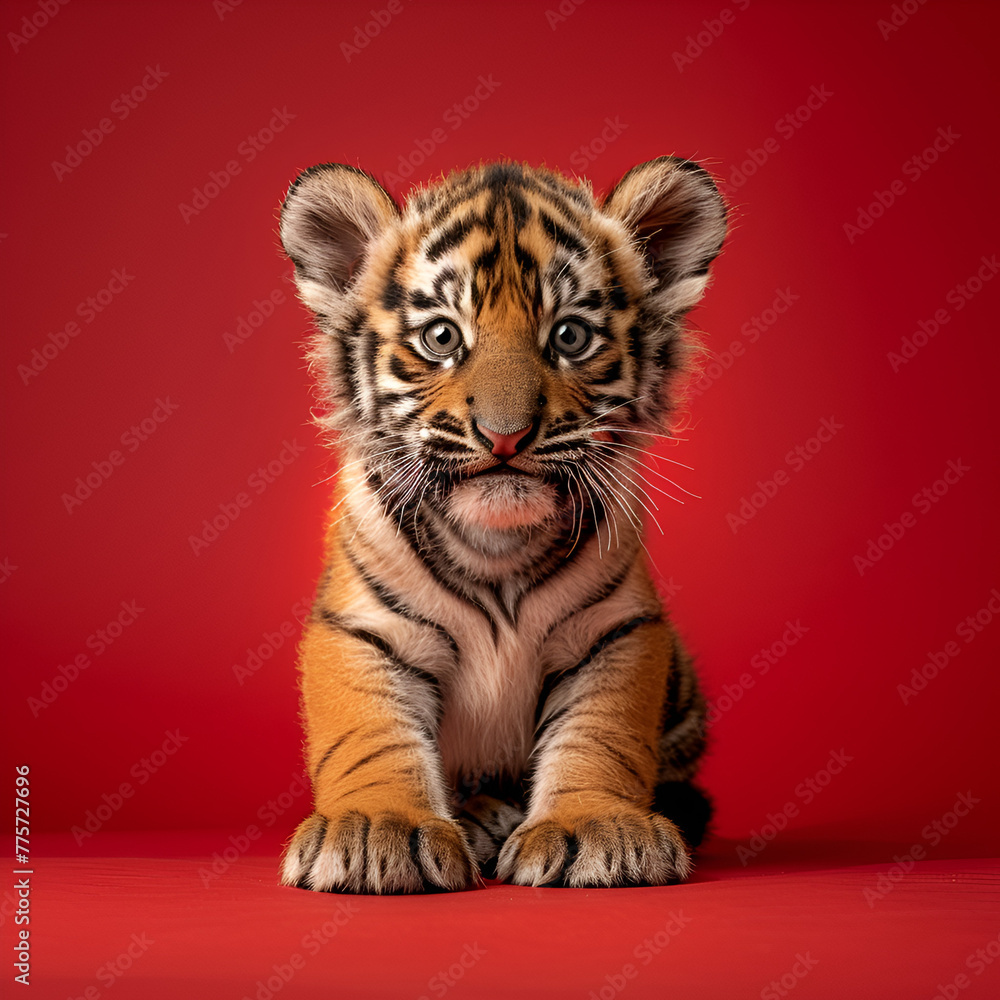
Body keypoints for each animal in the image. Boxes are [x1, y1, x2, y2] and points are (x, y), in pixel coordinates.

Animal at [276, 156, 727, 893]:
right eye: (442, 338)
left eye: (570, 336)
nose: (505, 435)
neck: (496, 545)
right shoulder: (362, 628)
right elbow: (368, 735)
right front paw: (376, 829)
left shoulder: (616, 631)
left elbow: (601, 735)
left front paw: (596, 826)